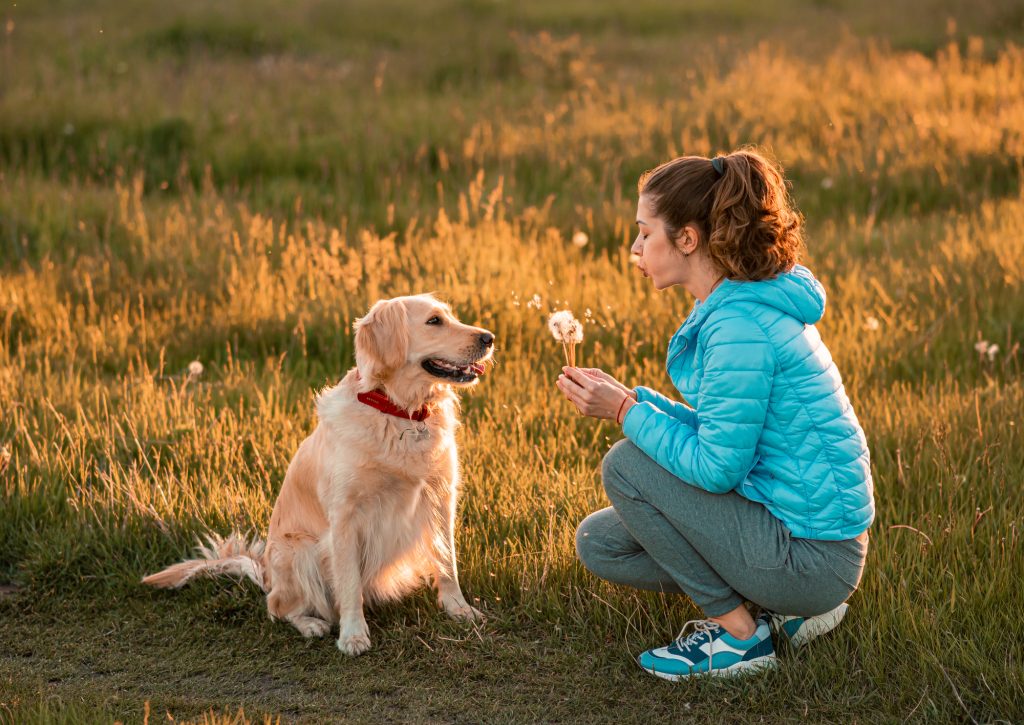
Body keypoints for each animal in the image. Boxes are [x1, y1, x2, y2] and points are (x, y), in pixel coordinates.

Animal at [143, 290, 491, 655]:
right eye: (433, 321)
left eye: (450, 316)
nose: (489, 338)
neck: (400, 413)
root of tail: (265, 575)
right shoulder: (346, 516)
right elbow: (349, 584)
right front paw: (353, 634)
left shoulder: (440, 498)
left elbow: (447, 562)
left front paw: (459, 609)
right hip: (298, 552)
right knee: (277, 608)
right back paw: (311, 624)